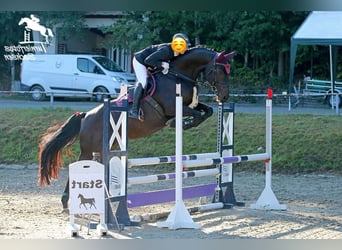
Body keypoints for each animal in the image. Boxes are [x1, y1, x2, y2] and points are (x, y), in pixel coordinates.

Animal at [37, 46, 235, 210]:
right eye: (219, 71)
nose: (224, 97)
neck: (178, 75)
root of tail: (86, 116)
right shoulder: (173, 107)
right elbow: (194, 115)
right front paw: (178, 123)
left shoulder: (192, 105)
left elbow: (207, 111)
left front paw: (185, 123)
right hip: (89, 149)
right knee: (79, 167)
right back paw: (65, 201)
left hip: (106, 148)